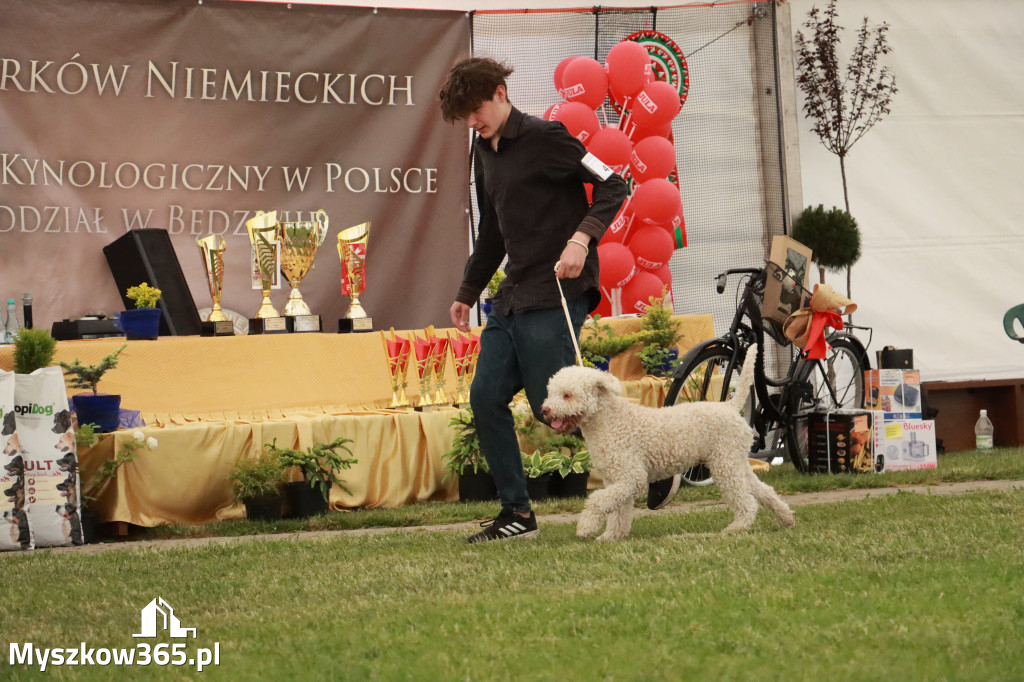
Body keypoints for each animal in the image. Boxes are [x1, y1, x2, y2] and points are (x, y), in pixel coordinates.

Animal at [544, 342, 790, 540]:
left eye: (567, 395)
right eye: (551, 393)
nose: (545, 410)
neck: (611, 421)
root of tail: (729, 406)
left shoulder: (632, 477)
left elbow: (597, 501)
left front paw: (586, 527)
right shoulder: (616, 480)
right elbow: (618, 511)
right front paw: (611, 536)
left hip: (724, 465)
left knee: (747, 502)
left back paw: (737, 528)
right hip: (736, 463)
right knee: (764, 491)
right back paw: (786, 518)